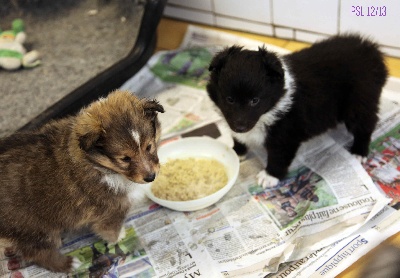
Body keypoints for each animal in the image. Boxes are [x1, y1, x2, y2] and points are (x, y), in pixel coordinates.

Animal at [0, 90, 164, 272]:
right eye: (125, 159)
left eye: (149, 146)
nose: (150, 177)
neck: (96, 163)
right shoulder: (111, 210)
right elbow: (110, 230)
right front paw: (119, 237)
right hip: (33, 229)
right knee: (38, 254)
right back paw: (69, 263)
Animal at [206, 34, 388, 187]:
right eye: (229, 99)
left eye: (255, 101)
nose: (240, 127)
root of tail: (373, 53)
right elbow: (238, 138)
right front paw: (237, 152)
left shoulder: (285, 135)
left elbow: (278, 157)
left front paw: (269, 176)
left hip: (359, 103)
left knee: (365, 125)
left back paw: (359, 152)